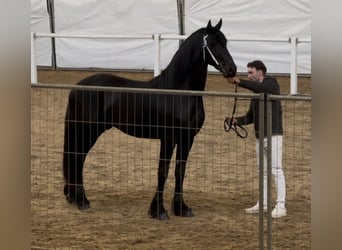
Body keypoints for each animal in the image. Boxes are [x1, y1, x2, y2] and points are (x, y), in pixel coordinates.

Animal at [62, 19, 236, 219]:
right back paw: (82, 201)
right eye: (213, 44)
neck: (179, 92)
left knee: (77, 160)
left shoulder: (187, 138)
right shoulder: (169, 137)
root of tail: (77, 88)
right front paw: (158, 210)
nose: (232, 70)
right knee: (77, 159)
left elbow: (180, 170)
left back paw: (75, 197)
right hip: (87, 130)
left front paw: (181, 208)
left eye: (225, 42)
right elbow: (163, 171)